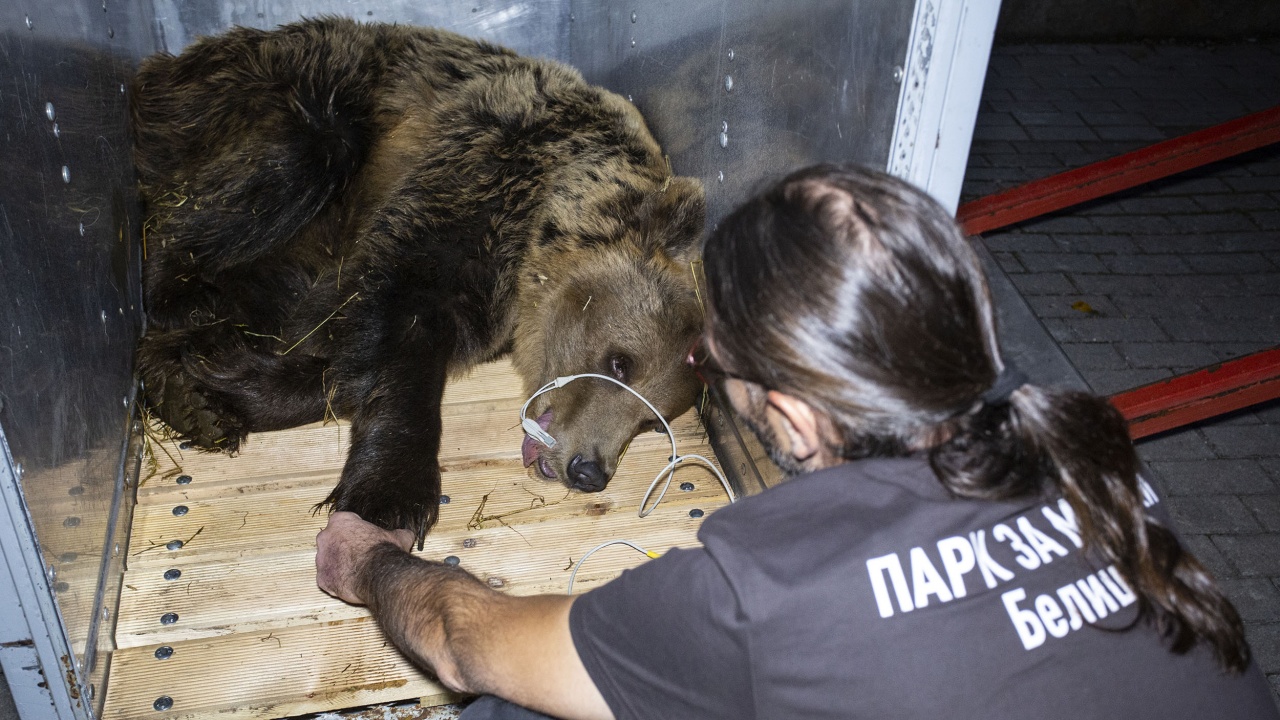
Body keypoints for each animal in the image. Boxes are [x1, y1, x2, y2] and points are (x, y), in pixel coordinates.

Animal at [131, 16, 706, 538]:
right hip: (287, 100)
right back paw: (189, 298)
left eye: (653, 418)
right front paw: (391, 494)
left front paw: (215, 382)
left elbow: (339, 354)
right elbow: (397, 323)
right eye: (619, 362)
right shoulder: (474, 181)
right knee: (257, 181)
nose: (589, 469)